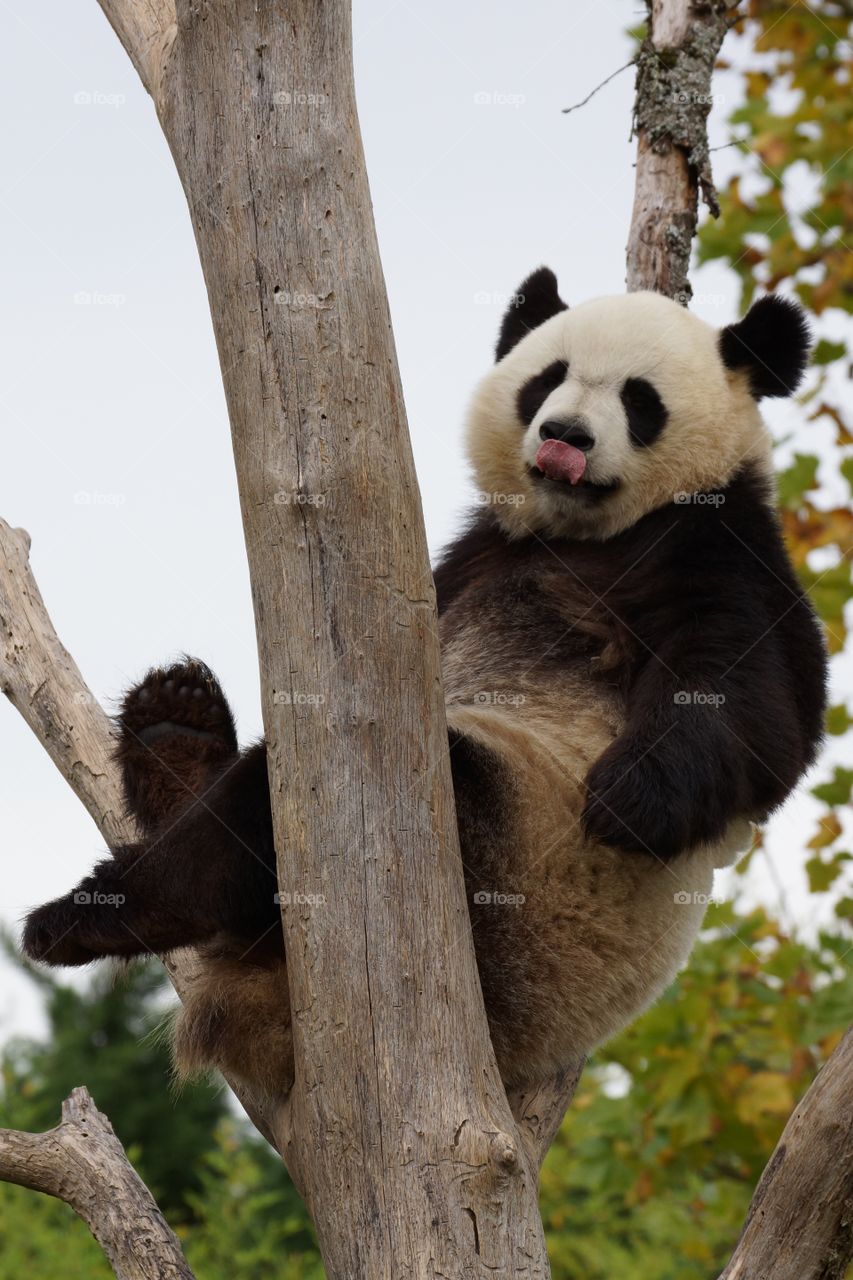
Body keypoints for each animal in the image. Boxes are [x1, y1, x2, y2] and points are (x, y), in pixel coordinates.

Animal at [24, 270, 824, 1100]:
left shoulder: (718, 550)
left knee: (255, 821)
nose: (564, 435)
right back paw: (174, 728)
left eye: (639, 399)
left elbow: (762, 718)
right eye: (546, 380)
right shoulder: (473, 556)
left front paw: (629, 795)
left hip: (513, 883)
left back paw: (94, 912)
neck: (586, 533)